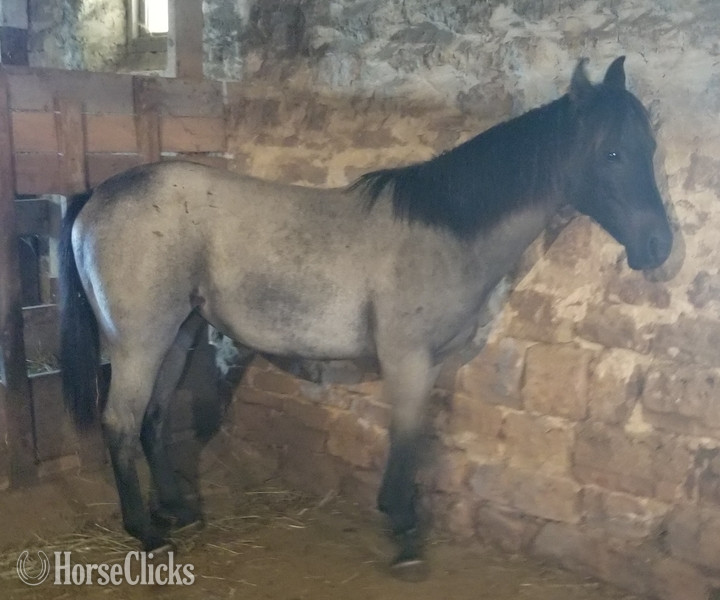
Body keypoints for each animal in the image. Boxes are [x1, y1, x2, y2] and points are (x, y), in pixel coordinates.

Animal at [59, 57, 672, 578]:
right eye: (612, 154)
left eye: (649, 146)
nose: (660, 245)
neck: (444, 232)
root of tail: (99, 195)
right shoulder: (408, 358)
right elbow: (405, 438)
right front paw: (404, 537)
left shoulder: (429, 362)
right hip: (141, 340)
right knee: (120, 421)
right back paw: (146, 533)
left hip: (180, 332)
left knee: (154, 416)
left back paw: (177, 511)